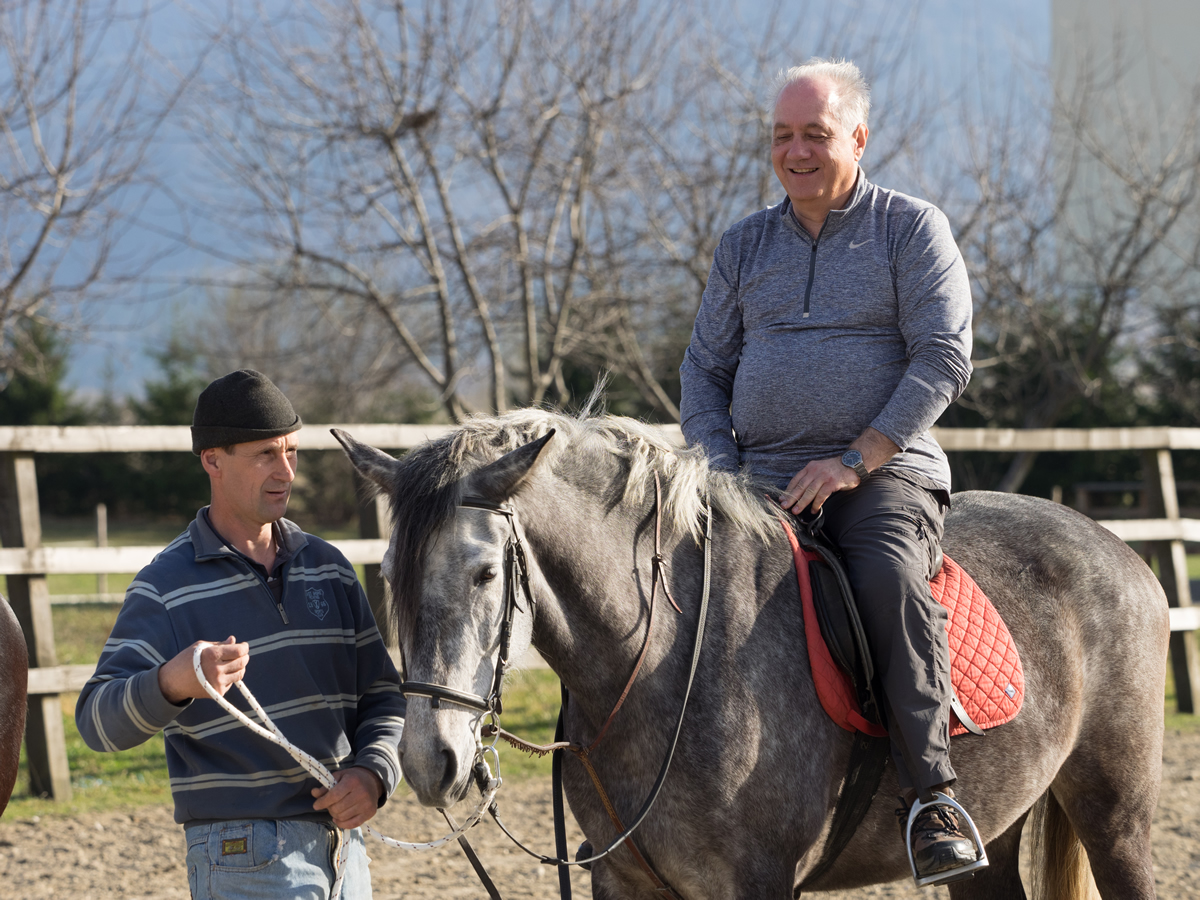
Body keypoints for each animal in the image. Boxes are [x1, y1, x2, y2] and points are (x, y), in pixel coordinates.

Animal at [334, 409, 1168, 900]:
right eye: (390, 576)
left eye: (483, 572)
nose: (429, 760)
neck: (666, 666)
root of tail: (1119, 550)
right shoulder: (627, 883)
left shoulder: (760, 882)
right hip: (997, 827)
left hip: (1117, 816)